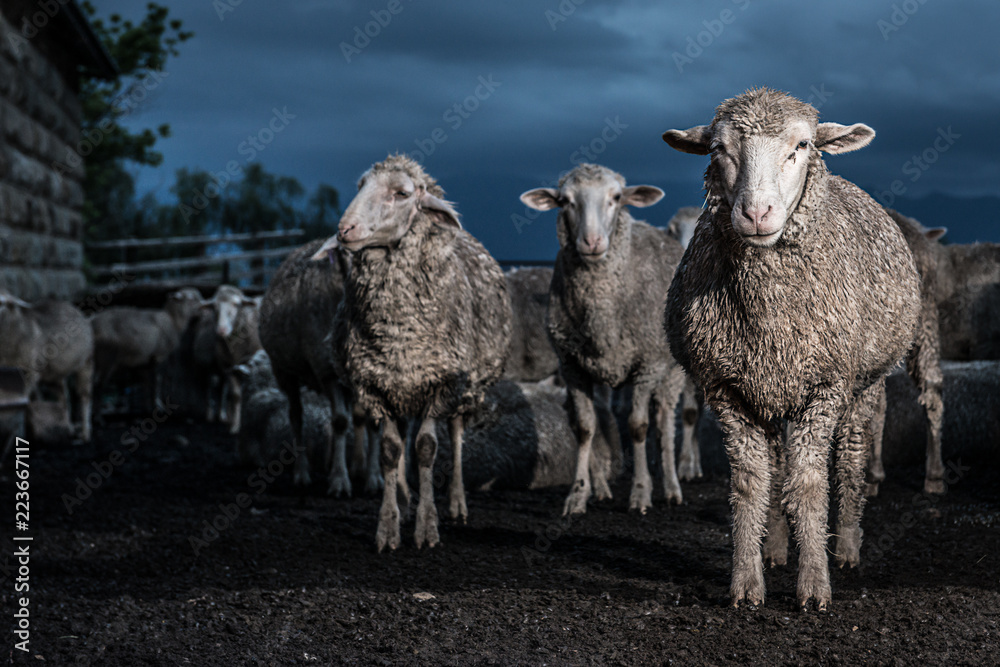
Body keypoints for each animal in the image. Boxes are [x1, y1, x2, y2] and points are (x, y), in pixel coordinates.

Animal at [0, 291, 93, 441]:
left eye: (2, 303)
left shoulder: (30, 370)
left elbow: (23, 398)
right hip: (56, 372)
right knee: (64, 399)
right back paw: (68, 427)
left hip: (86, 362)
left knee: (85, 396)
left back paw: (85, 432)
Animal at [259, 238, 381, 496]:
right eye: (344, 252)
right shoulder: (327, 371)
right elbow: (340, 421)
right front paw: (339, 481)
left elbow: (369, 421)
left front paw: (373, 478)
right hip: (284, 371)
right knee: (297, 416)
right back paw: (302, 474)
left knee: (354, 417)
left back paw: (357, 466)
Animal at [310, 154, 512, 551]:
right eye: (361, 186)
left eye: (402, 193)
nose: (345, 230)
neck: (397, 332)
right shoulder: (375, 385)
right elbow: (391, 450)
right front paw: (389, 526)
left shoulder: (442, 383)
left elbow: (428, 448)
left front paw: (427, 527)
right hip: (403, 386)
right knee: (404, 438)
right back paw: (405, 499)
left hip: (462, 389)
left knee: (456, 434)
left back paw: (456, 503)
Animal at [520, 163, 686, 516]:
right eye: (565, 201)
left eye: (617, 198)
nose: (592, 241)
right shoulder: (572, 367)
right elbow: (585, 428)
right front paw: (577, 494)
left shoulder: (646, 365)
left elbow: (638, 426)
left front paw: (640, 493)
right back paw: (601, 488)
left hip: (672, 370)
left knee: (664, 421)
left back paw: (671, 487)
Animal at [662, 88, 921, 610]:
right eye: (718, 149)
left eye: (802, 146)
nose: (756, 213)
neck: (769, 317)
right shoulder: (727, 389)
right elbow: (750, 484)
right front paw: (746, 582)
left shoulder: (824, 386)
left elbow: (808, 483)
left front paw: (815, 586)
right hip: (772, 390)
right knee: (776, 467)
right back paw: (778, 548)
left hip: (862, 384)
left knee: (851, 457)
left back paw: (846, 546)